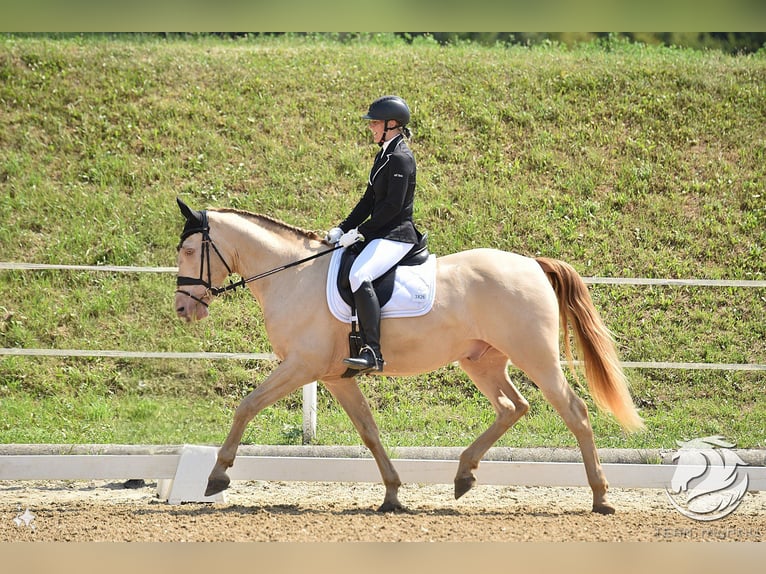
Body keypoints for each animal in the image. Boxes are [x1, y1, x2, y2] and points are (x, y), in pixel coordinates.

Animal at [172, 199, 640, 516]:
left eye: (190, 252)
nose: (182, 309)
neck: (293, 275)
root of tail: (532, 265)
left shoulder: (301, 366)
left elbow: (246, 405)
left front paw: (217, 476)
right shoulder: (335, 377)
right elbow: (369, 431)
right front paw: (393, 494)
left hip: (536, 356)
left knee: (574, 412)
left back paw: (601, 497)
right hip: (481, 360)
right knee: (513, 406)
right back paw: (463, 475)